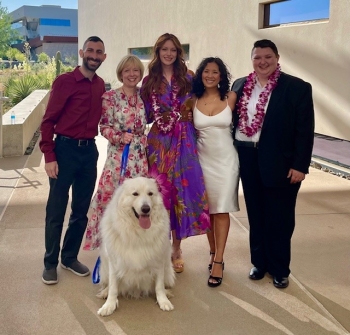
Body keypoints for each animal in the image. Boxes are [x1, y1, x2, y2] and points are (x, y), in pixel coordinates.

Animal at [95, 177, 175, 316]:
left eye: (150, 194)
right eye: (135, 194)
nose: (146, 208)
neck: (137, 232)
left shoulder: (159, 260)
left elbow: (159, 286)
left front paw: (163, 301)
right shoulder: (114, 262)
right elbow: (113, 287)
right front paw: (109, 305)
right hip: (104, 267)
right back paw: (104, 292)